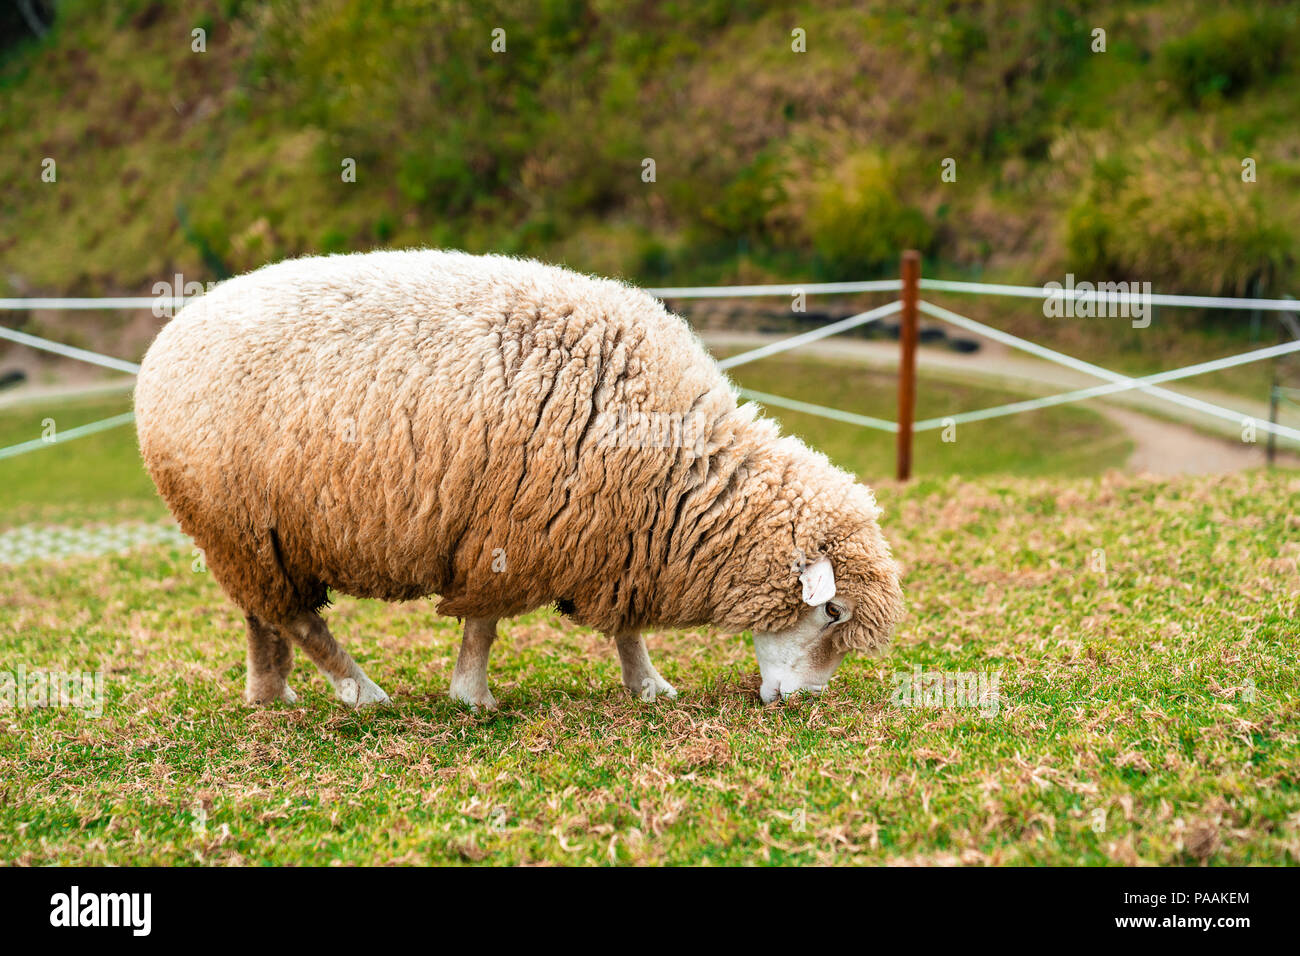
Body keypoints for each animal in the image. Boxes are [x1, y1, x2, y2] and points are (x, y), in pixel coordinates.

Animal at [134, 250, 904, 708]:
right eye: (831, 613)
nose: (803, 704)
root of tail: (169, 337)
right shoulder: (513, 530)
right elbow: (483, 625)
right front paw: (471, 697)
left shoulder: (611, 532)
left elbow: (624, 627)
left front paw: (648, 684)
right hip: (236, 526)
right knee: (299, 619)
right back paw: (362, 693)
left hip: (251, 536)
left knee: (263, 615)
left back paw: (270, 694)